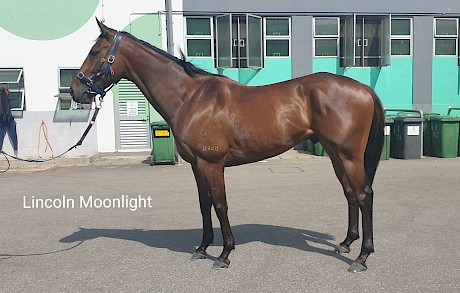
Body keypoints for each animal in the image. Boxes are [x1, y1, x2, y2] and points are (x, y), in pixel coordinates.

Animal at [69, 20, 384, 272]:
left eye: (94, 52)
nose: (75, 90)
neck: (191, 98)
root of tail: (364, 88)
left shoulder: (212, 163)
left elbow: (220, 204)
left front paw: (224, 253)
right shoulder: (197, 165)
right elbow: (204, 203)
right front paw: (202, 248)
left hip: (349, 155)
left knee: (364, 194)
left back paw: (362, 257)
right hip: (335, 154)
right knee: (350, 193)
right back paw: (346, 243)